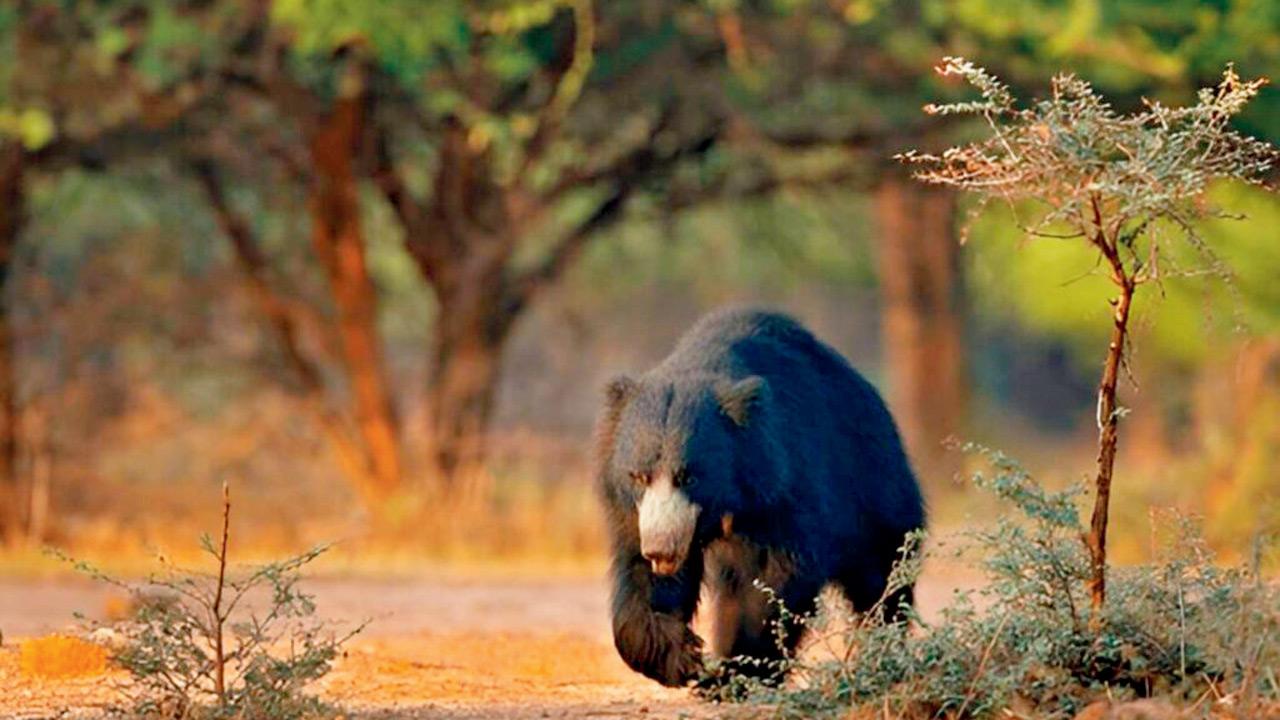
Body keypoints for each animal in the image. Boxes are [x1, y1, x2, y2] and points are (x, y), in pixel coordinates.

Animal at [595, 308, 926, 687]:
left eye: (689, 477)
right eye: (638, 476)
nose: (661, 551)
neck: (731, 503)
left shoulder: (784, 486)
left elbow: (771, 580)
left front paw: (730, 673)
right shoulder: (634, 512)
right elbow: (639, 575)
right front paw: (681, 656)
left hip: (873, 486)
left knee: (882, 575)